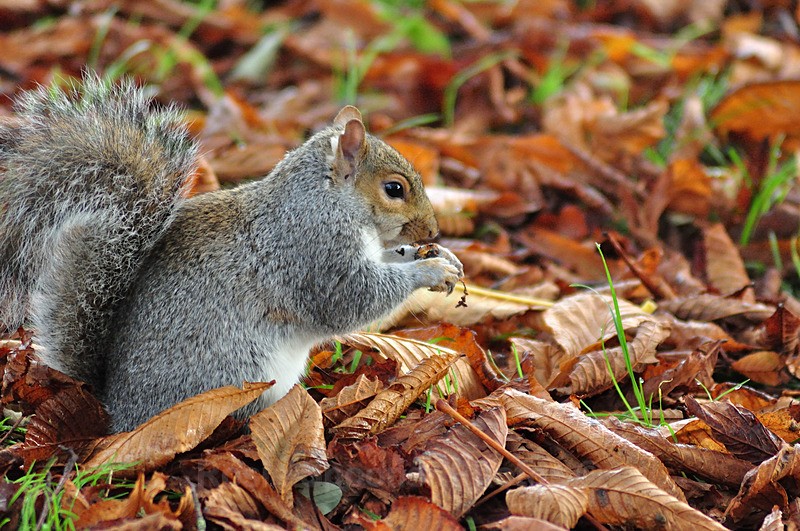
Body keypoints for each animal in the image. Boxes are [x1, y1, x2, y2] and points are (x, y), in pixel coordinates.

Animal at [0, 76, 463, 432]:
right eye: (394, 189)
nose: (432, 230)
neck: (325, 198)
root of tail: (117, 410)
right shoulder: (311, 251)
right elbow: (352, 299)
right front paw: (428, 269)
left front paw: (437, 256)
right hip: (238, 375)